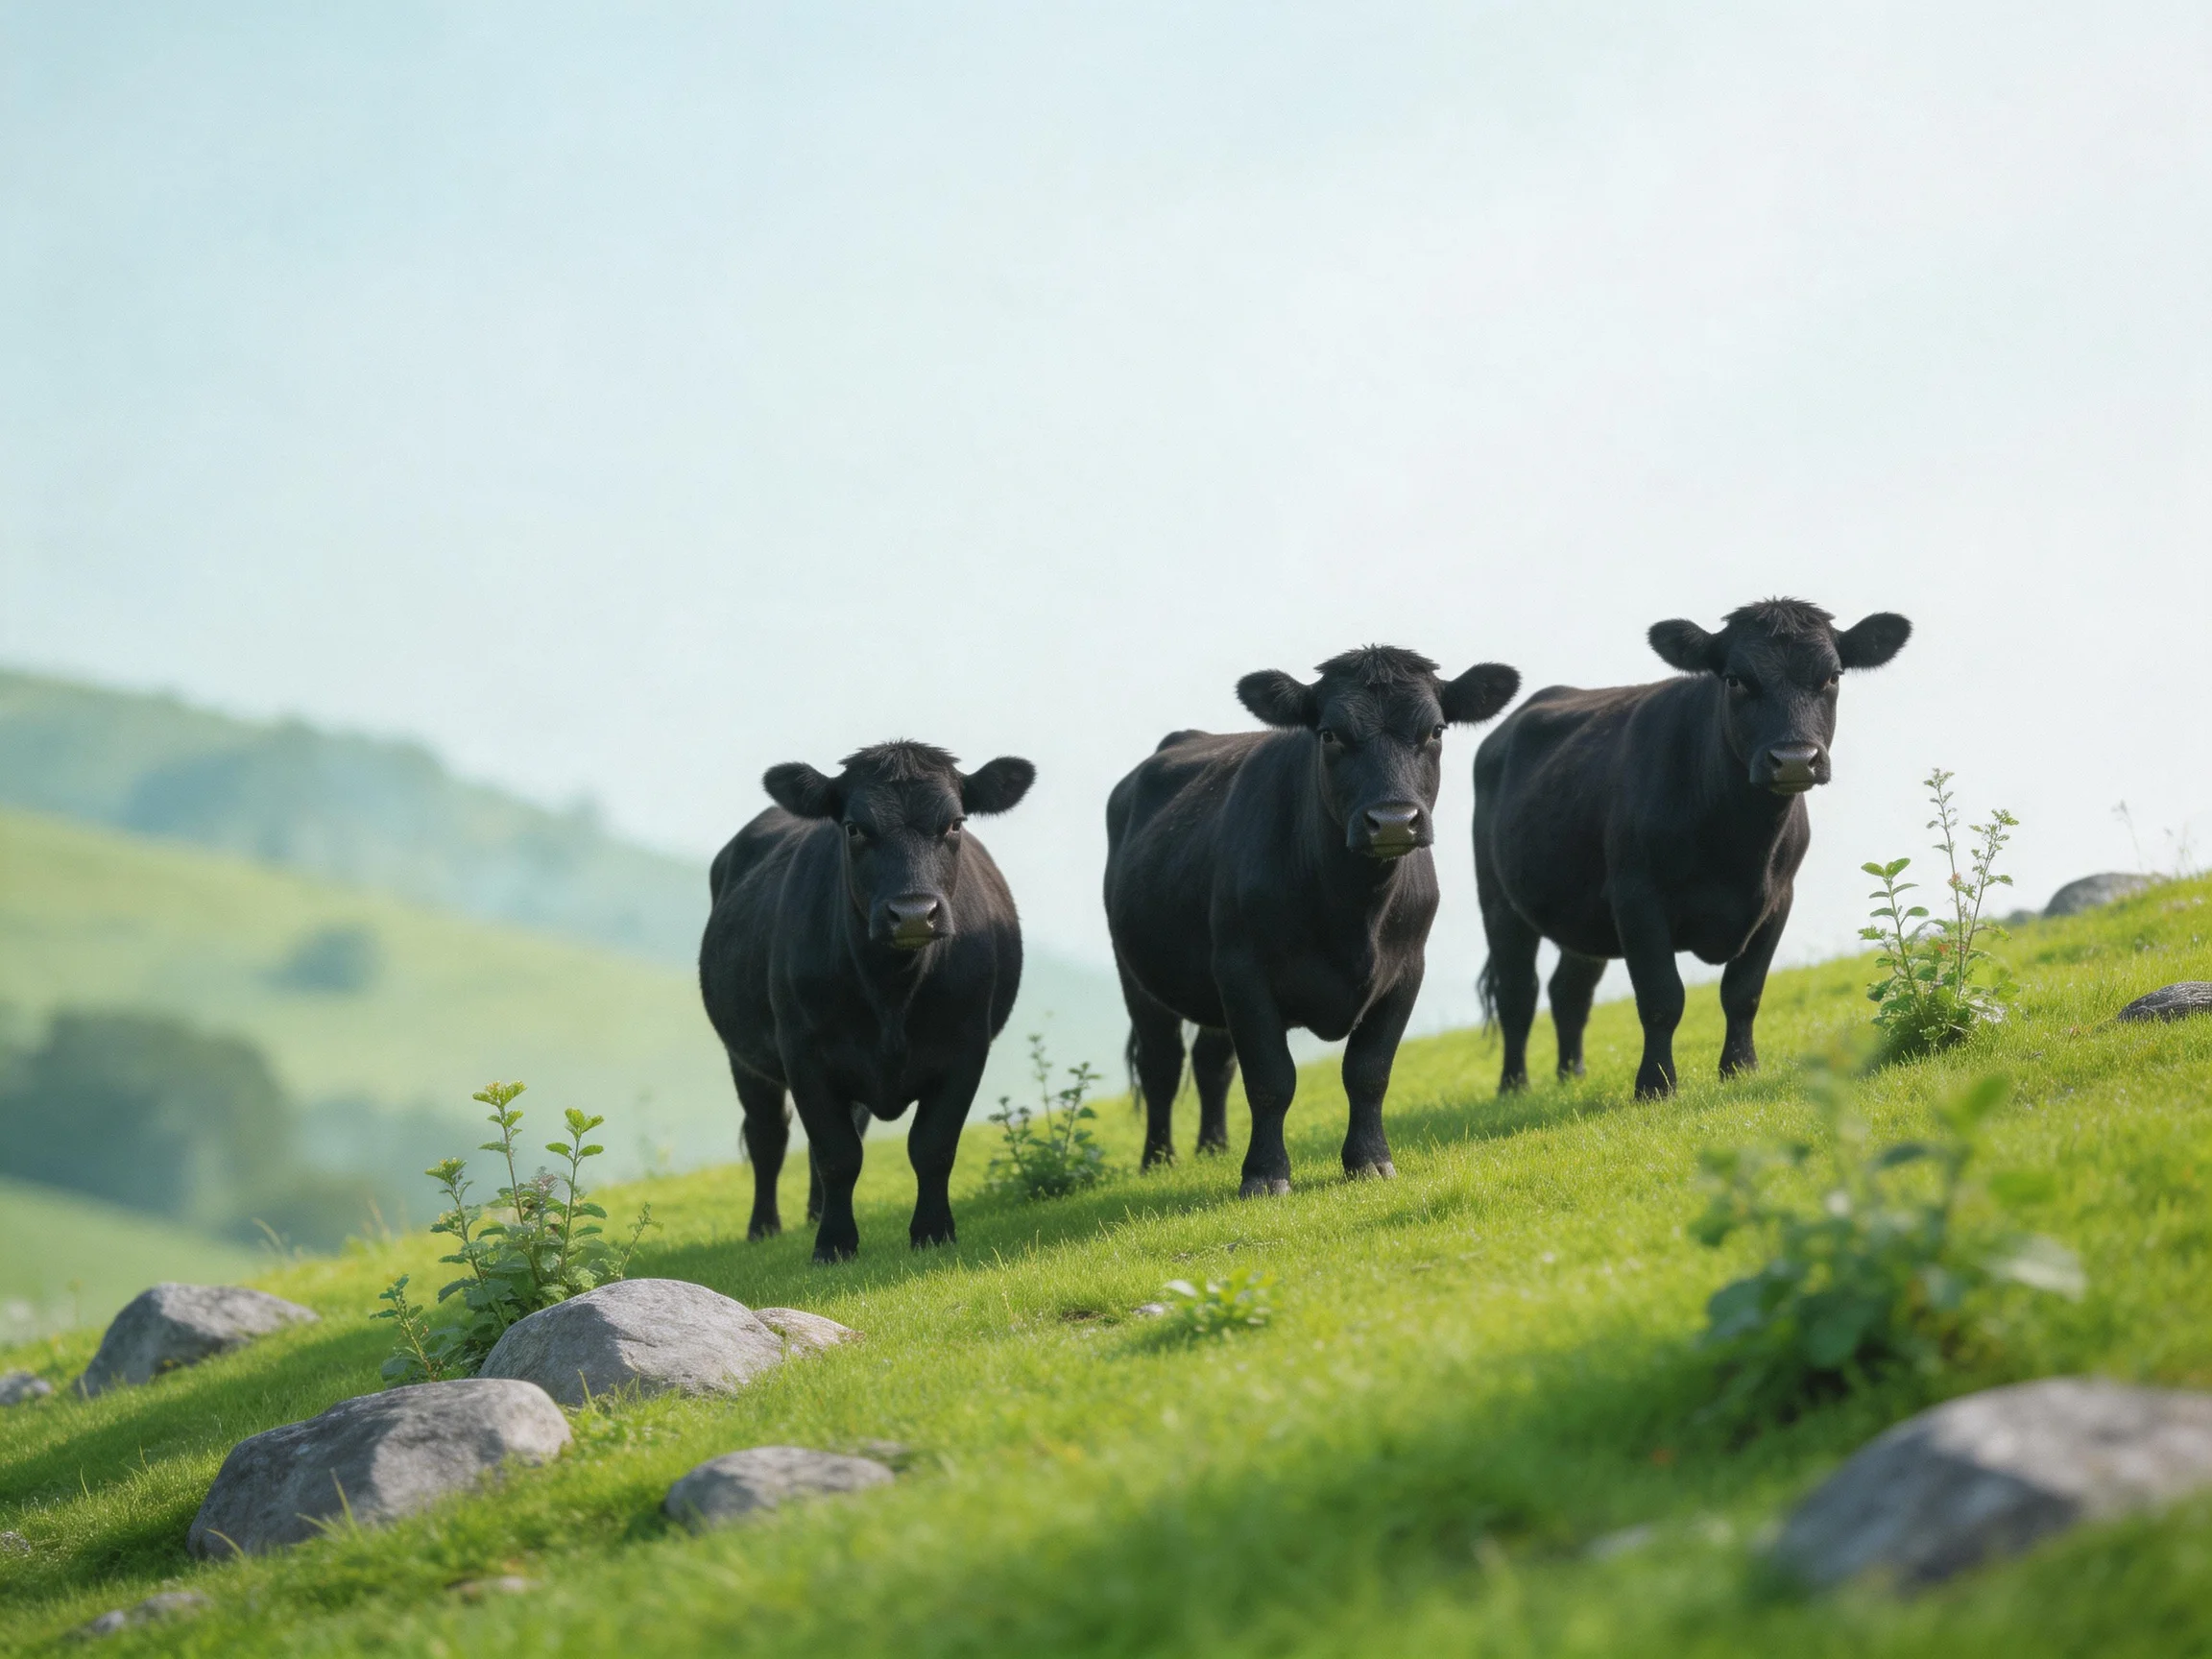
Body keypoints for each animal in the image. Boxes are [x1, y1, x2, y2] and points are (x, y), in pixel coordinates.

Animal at [698, 740, 1034, 1262]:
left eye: (955, 823)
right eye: (855, 827)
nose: (914, 913)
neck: (890, 990)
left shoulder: (966, 1047)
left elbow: (932, 1146)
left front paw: (933, 1232)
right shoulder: (803, 1053)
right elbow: (836, 1153)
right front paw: (834, 1244)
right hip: (745, 1056)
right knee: (767, 1135)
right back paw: (764, 1228)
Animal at [1105, 646, 1520, 1196]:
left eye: (1435, 730)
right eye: (1329, 734)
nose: (1393, 821)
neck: (1352, 911)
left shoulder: (1406, 970)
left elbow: (1369, 1072)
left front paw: (1369, 1161)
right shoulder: (1243, 971)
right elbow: (1270, 1078)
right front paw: (1264, 1175)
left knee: (1212, 1064)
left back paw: (1213, 1150)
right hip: (1137, 975)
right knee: (1161, 1065)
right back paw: (1159, 1160)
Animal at [1472, 598, 1911, 1099]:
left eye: (1833, 676)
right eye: (1736, 679)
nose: (1795, 759)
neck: (1738, 848)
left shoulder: (1778, 899)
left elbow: (1743, 992)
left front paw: (1740, 1068)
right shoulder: (1636, 898)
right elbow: (1662, 997)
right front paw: (1655, 1085)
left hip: (1578, 911)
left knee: (1569, 991)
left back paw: (1572, 1075)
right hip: (1499, 902)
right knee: (1517, 994)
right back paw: (1513, 1086)